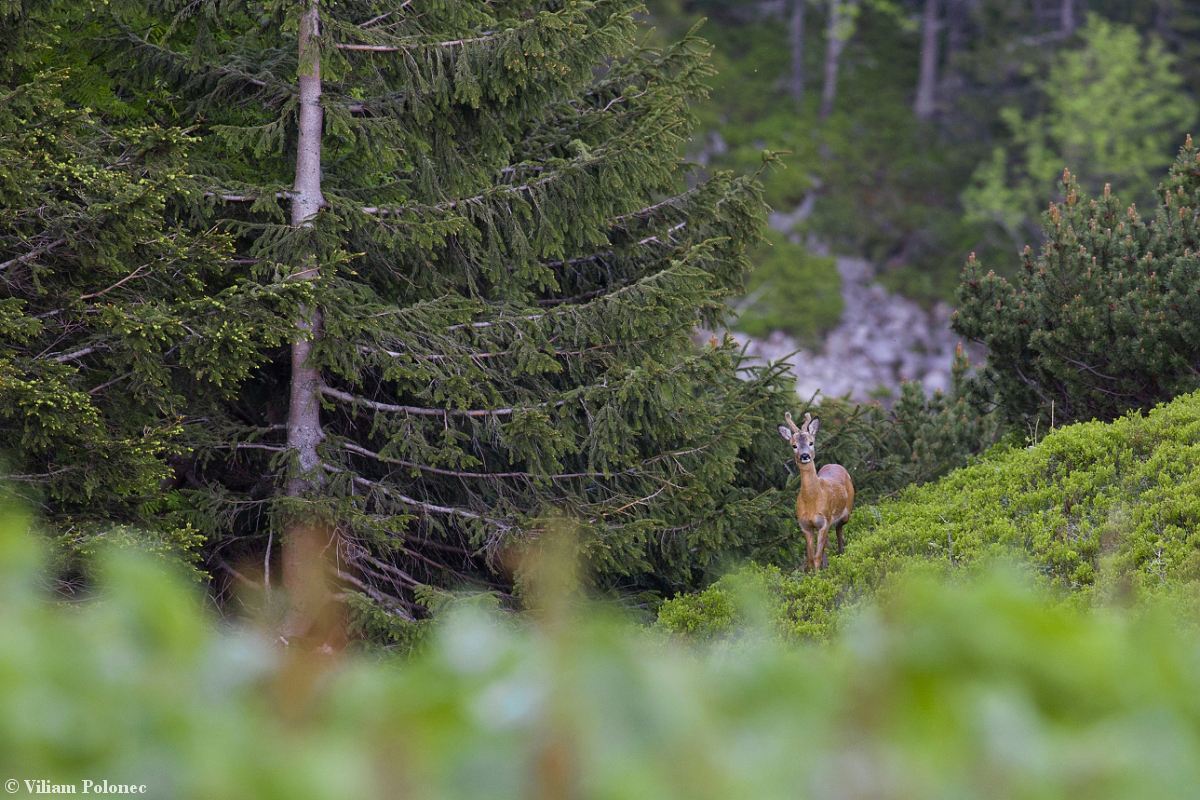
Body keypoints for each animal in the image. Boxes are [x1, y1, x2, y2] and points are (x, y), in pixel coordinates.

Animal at [777, 412, 854, 568]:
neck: (812, 500)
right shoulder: (805, 525)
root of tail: (836, 464)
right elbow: (811, 558)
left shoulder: (824, 521)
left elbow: (817, 557)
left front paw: (820, 573)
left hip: (846, 512)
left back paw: (840, 552)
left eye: (811, 442)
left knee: (839, 529)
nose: (804, 456)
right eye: (794, 445)